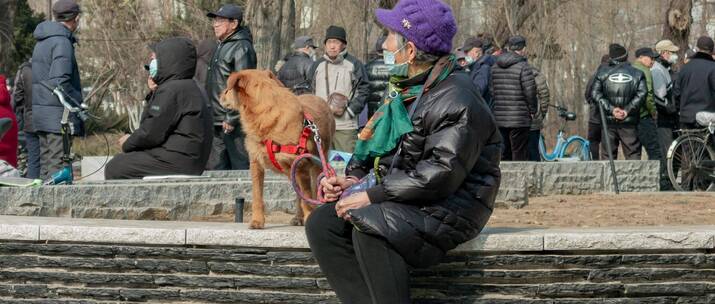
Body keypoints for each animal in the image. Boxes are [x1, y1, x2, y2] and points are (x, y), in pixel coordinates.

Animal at [220, 69, 334, 228]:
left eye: (228, 89)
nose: (220, 95)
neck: (265, 113)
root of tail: (315, 96)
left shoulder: (301, 165)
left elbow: (307, 197)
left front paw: (311, 218)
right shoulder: (255, 164)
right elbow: (257, 196)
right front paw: (257, 221)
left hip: (317, 163)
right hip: (291, 172)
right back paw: (298, 218)